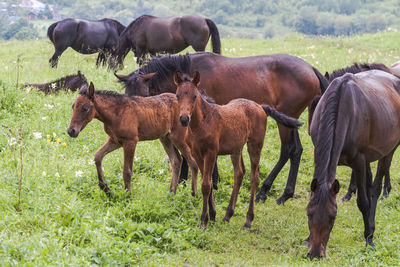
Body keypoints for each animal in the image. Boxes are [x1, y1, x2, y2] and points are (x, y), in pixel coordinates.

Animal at [68, 82, 200, 197]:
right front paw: (105, 187)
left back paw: (193, 195)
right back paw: (171, 193)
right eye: (73, 106)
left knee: (193, 163)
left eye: (85, 108)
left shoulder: (130, 141)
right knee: (176, 161)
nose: (71, 131)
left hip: (179, 138)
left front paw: (128, 196)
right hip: (166, 138)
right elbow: (97, 156)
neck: (117, 113)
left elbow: (127, 171)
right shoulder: (115, 140)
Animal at [115, 53, 328, 206]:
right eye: (127, 95)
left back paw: (266, 191)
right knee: (296, 150)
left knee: (288, 150)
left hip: (285, 120)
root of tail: (311, 69)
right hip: (290, 121)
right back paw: (286, 193)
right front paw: (186, 182)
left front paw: (206, 182)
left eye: (143, 94)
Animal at [173, 72, 302, 229]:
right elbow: (207, 183)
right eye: (177, 95)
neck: (203, 122)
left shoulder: (210, 153)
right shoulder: (197, 154)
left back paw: (248, 220)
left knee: (254, 177)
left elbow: (206, 185)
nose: (184, 119)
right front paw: (212, 215)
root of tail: (260, 106)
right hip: (236, 149)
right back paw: (228, 215)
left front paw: (204, 220)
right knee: (239, 173)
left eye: (194, 96)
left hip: (255, 145)